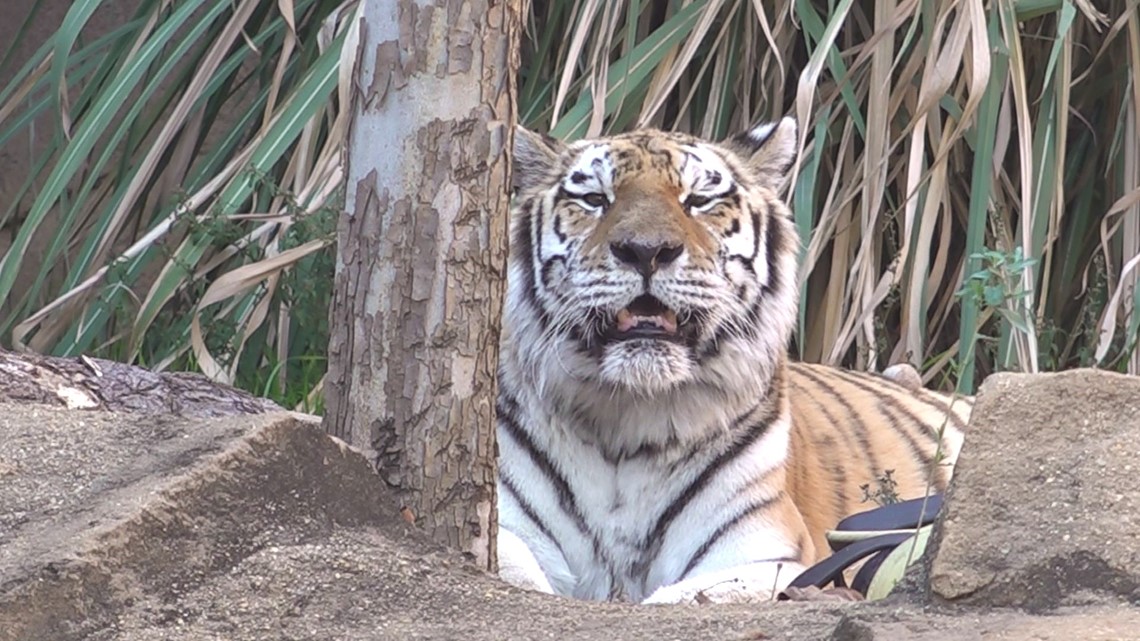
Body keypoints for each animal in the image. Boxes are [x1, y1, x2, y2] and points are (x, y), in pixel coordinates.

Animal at [494, 115, 966, 602]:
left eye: (699, 201)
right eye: (594, 200)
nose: (646, 250)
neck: (627, 420)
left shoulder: (767, 556)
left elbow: (685, 598)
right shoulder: (504, 526)